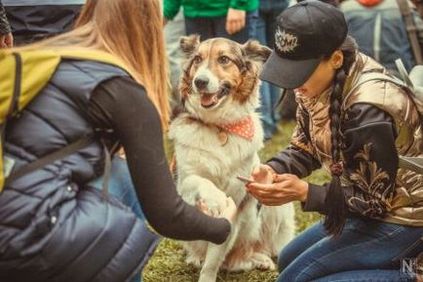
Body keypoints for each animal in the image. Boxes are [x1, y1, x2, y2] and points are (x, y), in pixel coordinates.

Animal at [168, 35, 294, 282]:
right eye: (197, 60)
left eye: (224, 59)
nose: (199, 82)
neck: (220, 127)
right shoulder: (183, 183)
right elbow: (199, 181)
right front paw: (215, 198)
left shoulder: (238, 197)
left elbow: (214, 257)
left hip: (278, 208)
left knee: (256, 250)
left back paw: (260, 259)